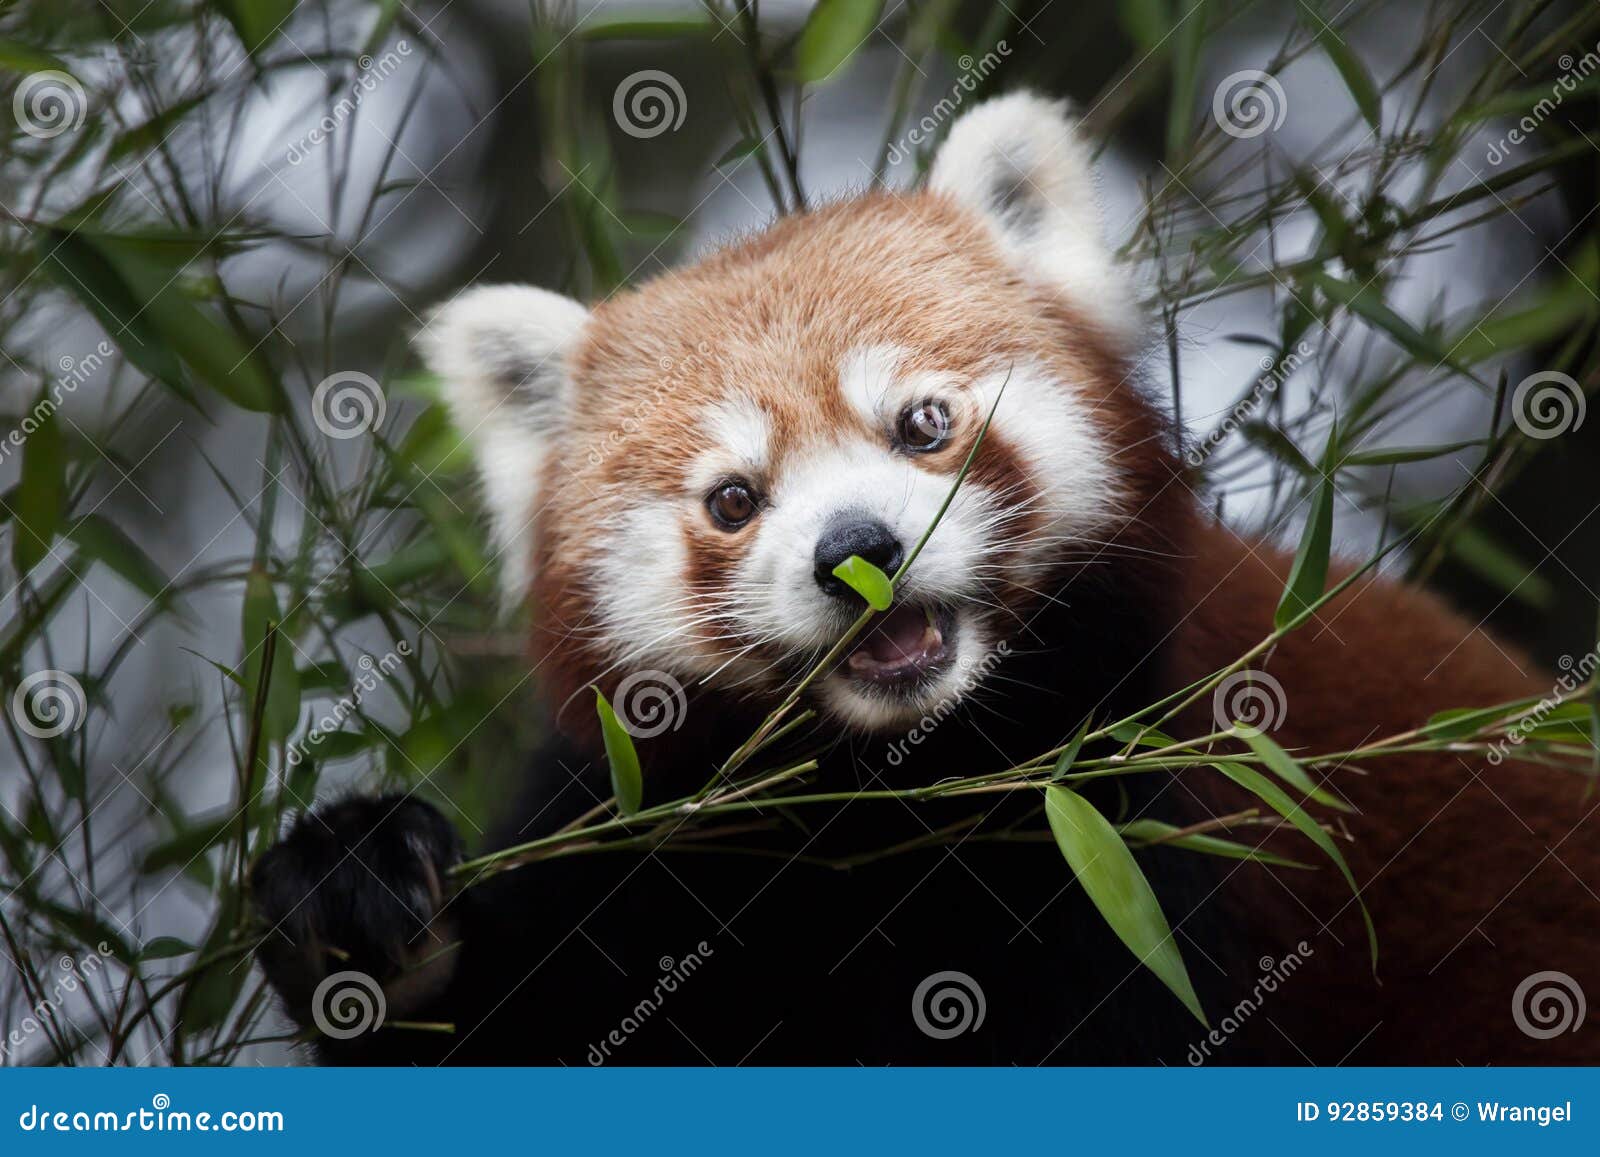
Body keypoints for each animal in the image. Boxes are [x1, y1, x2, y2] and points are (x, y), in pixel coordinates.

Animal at [249, 95, 1600, 1062]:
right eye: (733, 499)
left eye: (923, 424)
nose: (859, 551)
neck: (895, 793)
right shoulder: (649, 834)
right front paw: (358, 898)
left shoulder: (1143, 813)